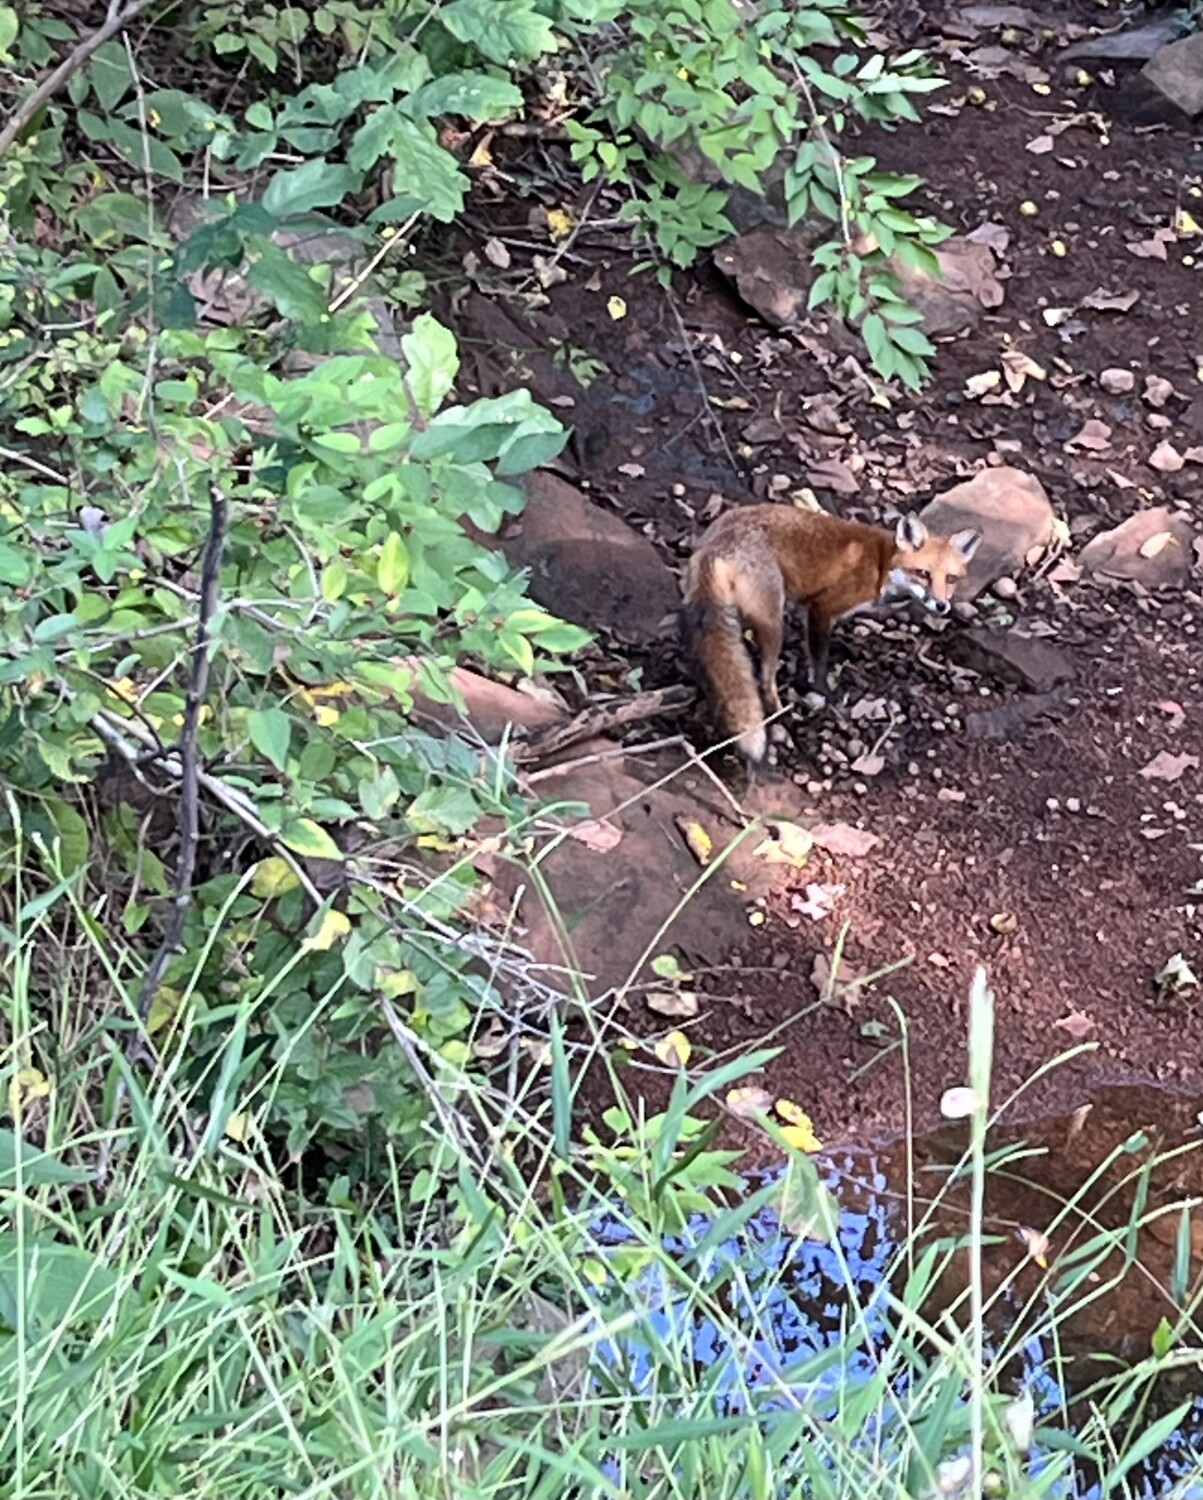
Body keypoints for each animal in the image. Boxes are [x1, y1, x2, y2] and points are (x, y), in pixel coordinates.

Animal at [682, 504, 982, 769]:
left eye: (951, 579)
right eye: (923, 574)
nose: (941, 606)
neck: (881, 566)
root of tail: (718, 542)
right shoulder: (821, 609)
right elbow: (819, 660)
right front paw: (824, 693)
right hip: (773, 623)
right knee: (764, 680)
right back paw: (781, 714)